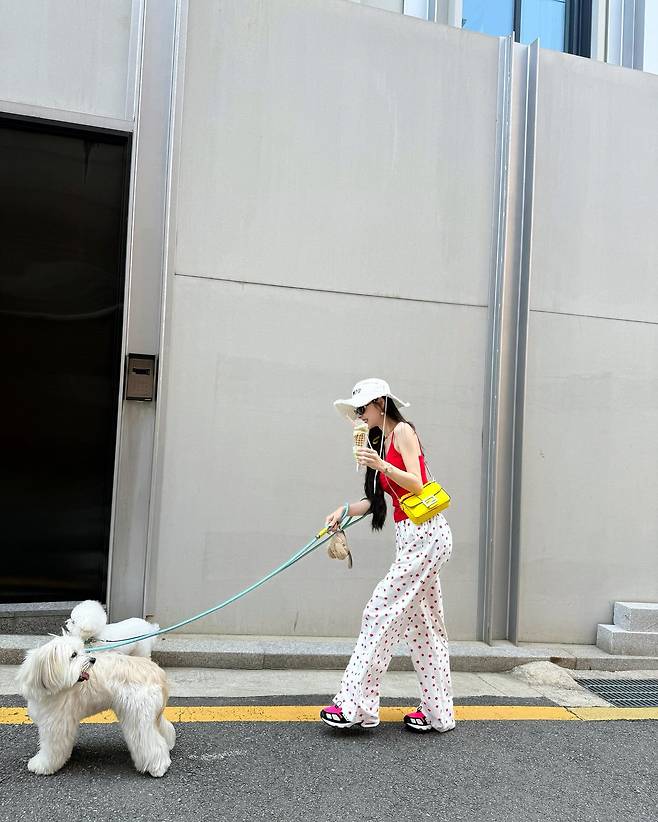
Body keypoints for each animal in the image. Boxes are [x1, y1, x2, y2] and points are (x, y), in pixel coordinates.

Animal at [16, 635, 175, 777]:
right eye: (74, 654)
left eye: (82, 650)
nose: (93, 659)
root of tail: (157, 671)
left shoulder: (56, 723)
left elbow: (50, 748)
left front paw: (42, 765)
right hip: (149, 714)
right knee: (163, 728)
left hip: (138, 716)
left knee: (151, 742)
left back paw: (158, 767)